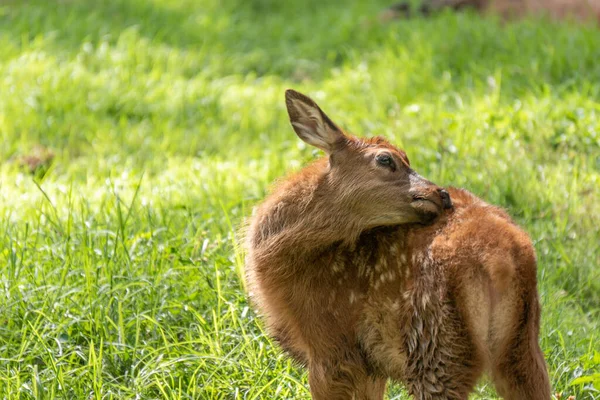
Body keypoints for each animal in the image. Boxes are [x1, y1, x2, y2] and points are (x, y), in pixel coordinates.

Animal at [243, 89, 548, 398]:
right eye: (386, 160)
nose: (442, 194)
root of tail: (500, 260)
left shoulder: (331, 346)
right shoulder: (370, 365)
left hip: (436, 344)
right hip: (523, 346)